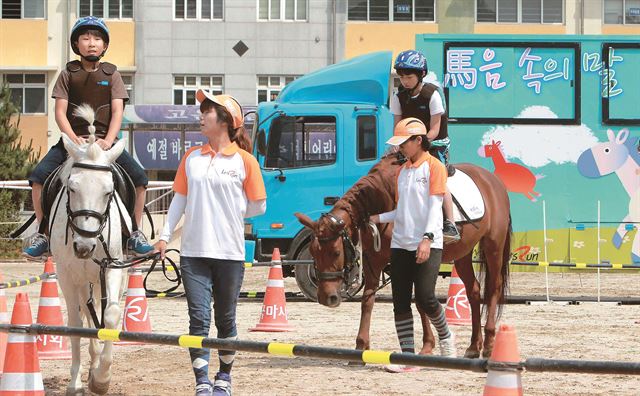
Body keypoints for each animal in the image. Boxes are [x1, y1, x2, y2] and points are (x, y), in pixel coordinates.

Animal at [50, 104, 131, 392]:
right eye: (72, 188)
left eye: (109, 192)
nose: (84, 246)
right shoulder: (66, 274)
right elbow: (74, 323)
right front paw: (75, 382)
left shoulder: (114, 267)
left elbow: (111, 315)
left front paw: (101, 378)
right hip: (82, 278)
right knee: (86, 311)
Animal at [298, 153, 512, 358]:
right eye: (314, 253)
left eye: (336, 253)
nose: (327, 297)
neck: (383, 200)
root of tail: (493, 180)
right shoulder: (374, 260)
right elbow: (370, 300)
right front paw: (362, 345)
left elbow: (417, 300)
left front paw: (427, 345)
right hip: (463, 253)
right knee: (474, 291)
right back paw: (474, 346)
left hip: (493, 246)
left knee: (493, 288)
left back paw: (489, 343)